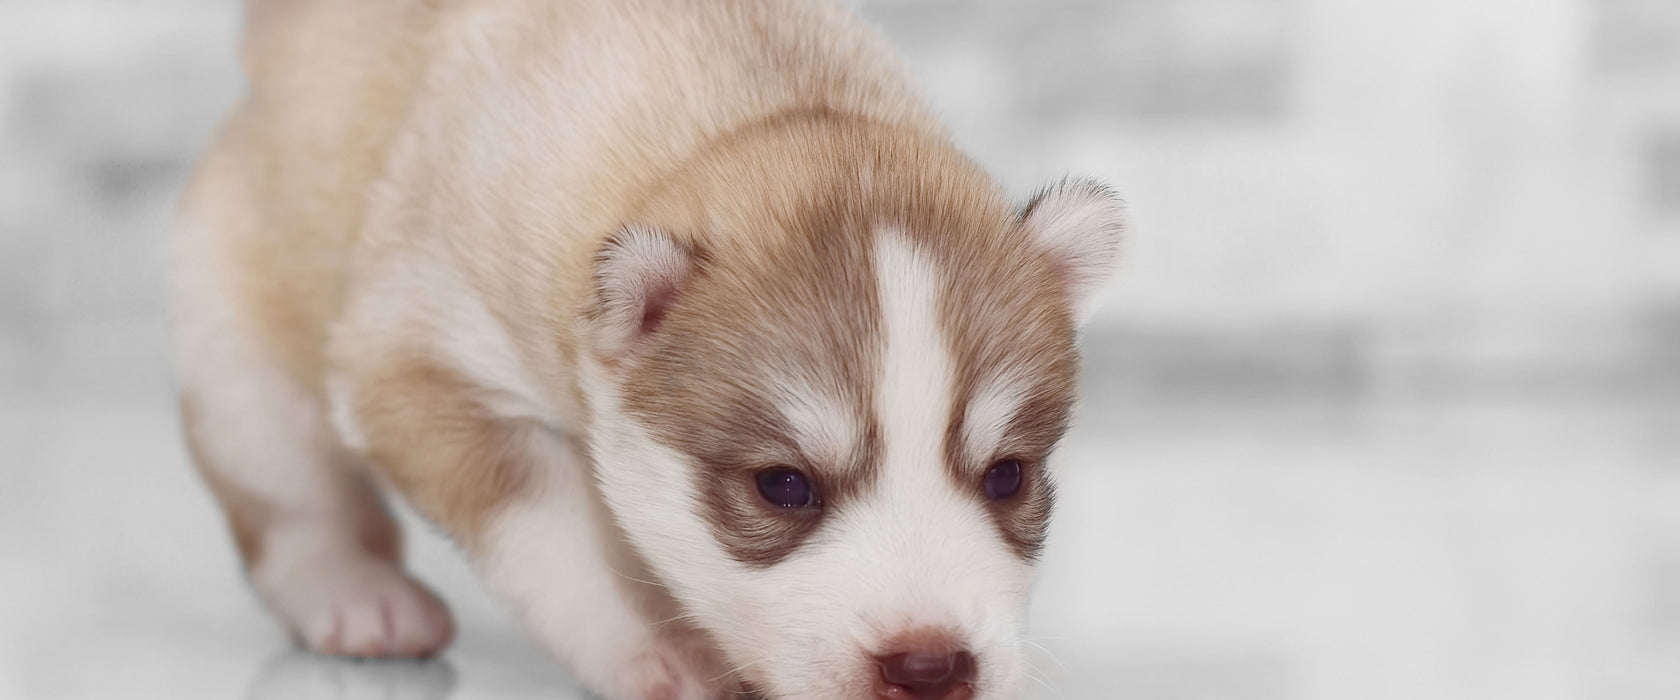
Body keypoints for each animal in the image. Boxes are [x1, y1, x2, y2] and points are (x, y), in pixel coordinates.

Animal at [170, 1, 1122, 698]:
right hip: (234, 344)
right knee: (289, 493)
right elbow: (551, 524)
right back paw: (354, 591)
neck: (740, 113)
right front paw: (655, 650)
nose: (931, 667)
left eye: (1008, 476)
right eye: (784, 487)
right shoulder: (421, 358)